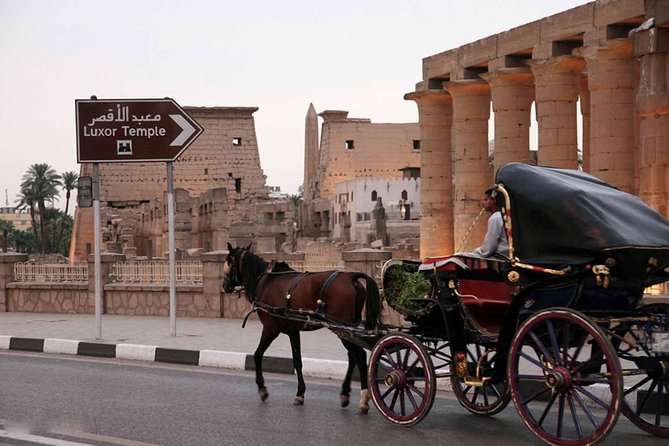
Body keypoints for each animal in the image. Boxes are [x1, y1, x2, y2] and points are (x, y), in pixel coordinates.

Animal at [224, 246, 380, 412]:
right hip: (347, 328)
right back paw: (346, 393)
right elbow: (297, 360)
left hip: (341, 327)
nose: (224, 286)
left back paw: (363, 397)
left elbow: (258, 354)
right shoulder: (293, 331)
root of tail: (350, 276)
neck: (266, 282)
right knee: (353, 356)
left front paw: (262, 389)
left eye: (228, 262)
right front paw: (300, 393)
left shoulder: (270, 329)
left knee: (359, 355)